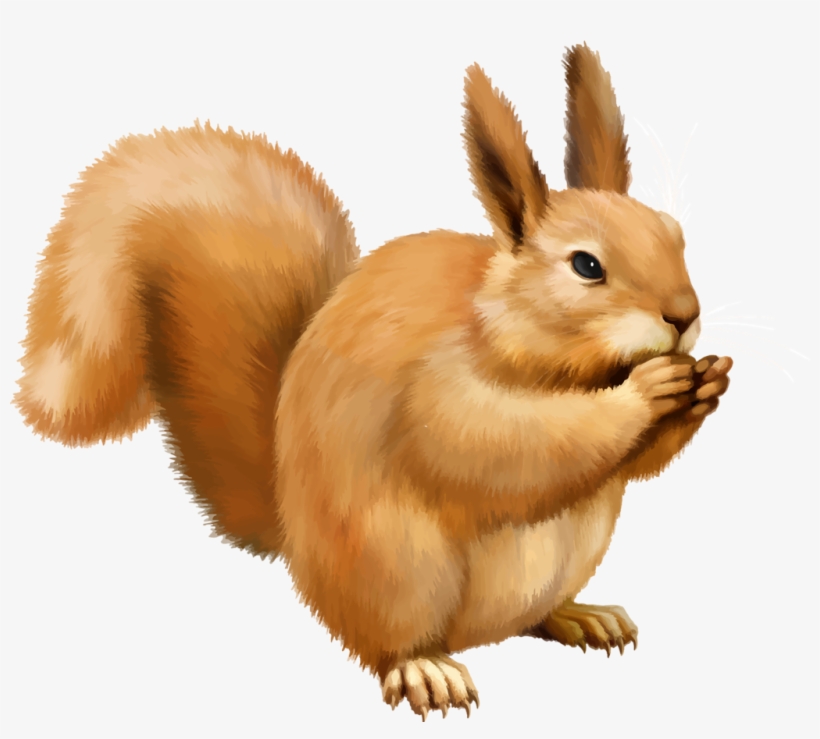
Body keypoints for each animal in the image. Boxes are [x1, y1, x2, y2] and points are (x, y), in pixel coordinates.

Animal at [14, 43, 732, 720]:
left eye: (676, 236)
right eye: (586, 265)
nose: (683, 315)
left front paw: (707, 385)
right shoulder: (437, 389)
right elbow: (505, 443)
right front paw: (647, 393)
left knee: (533, 616)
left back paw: (582, 615)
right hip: (396, 570)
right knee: (386, 642)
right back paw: (426, 669)